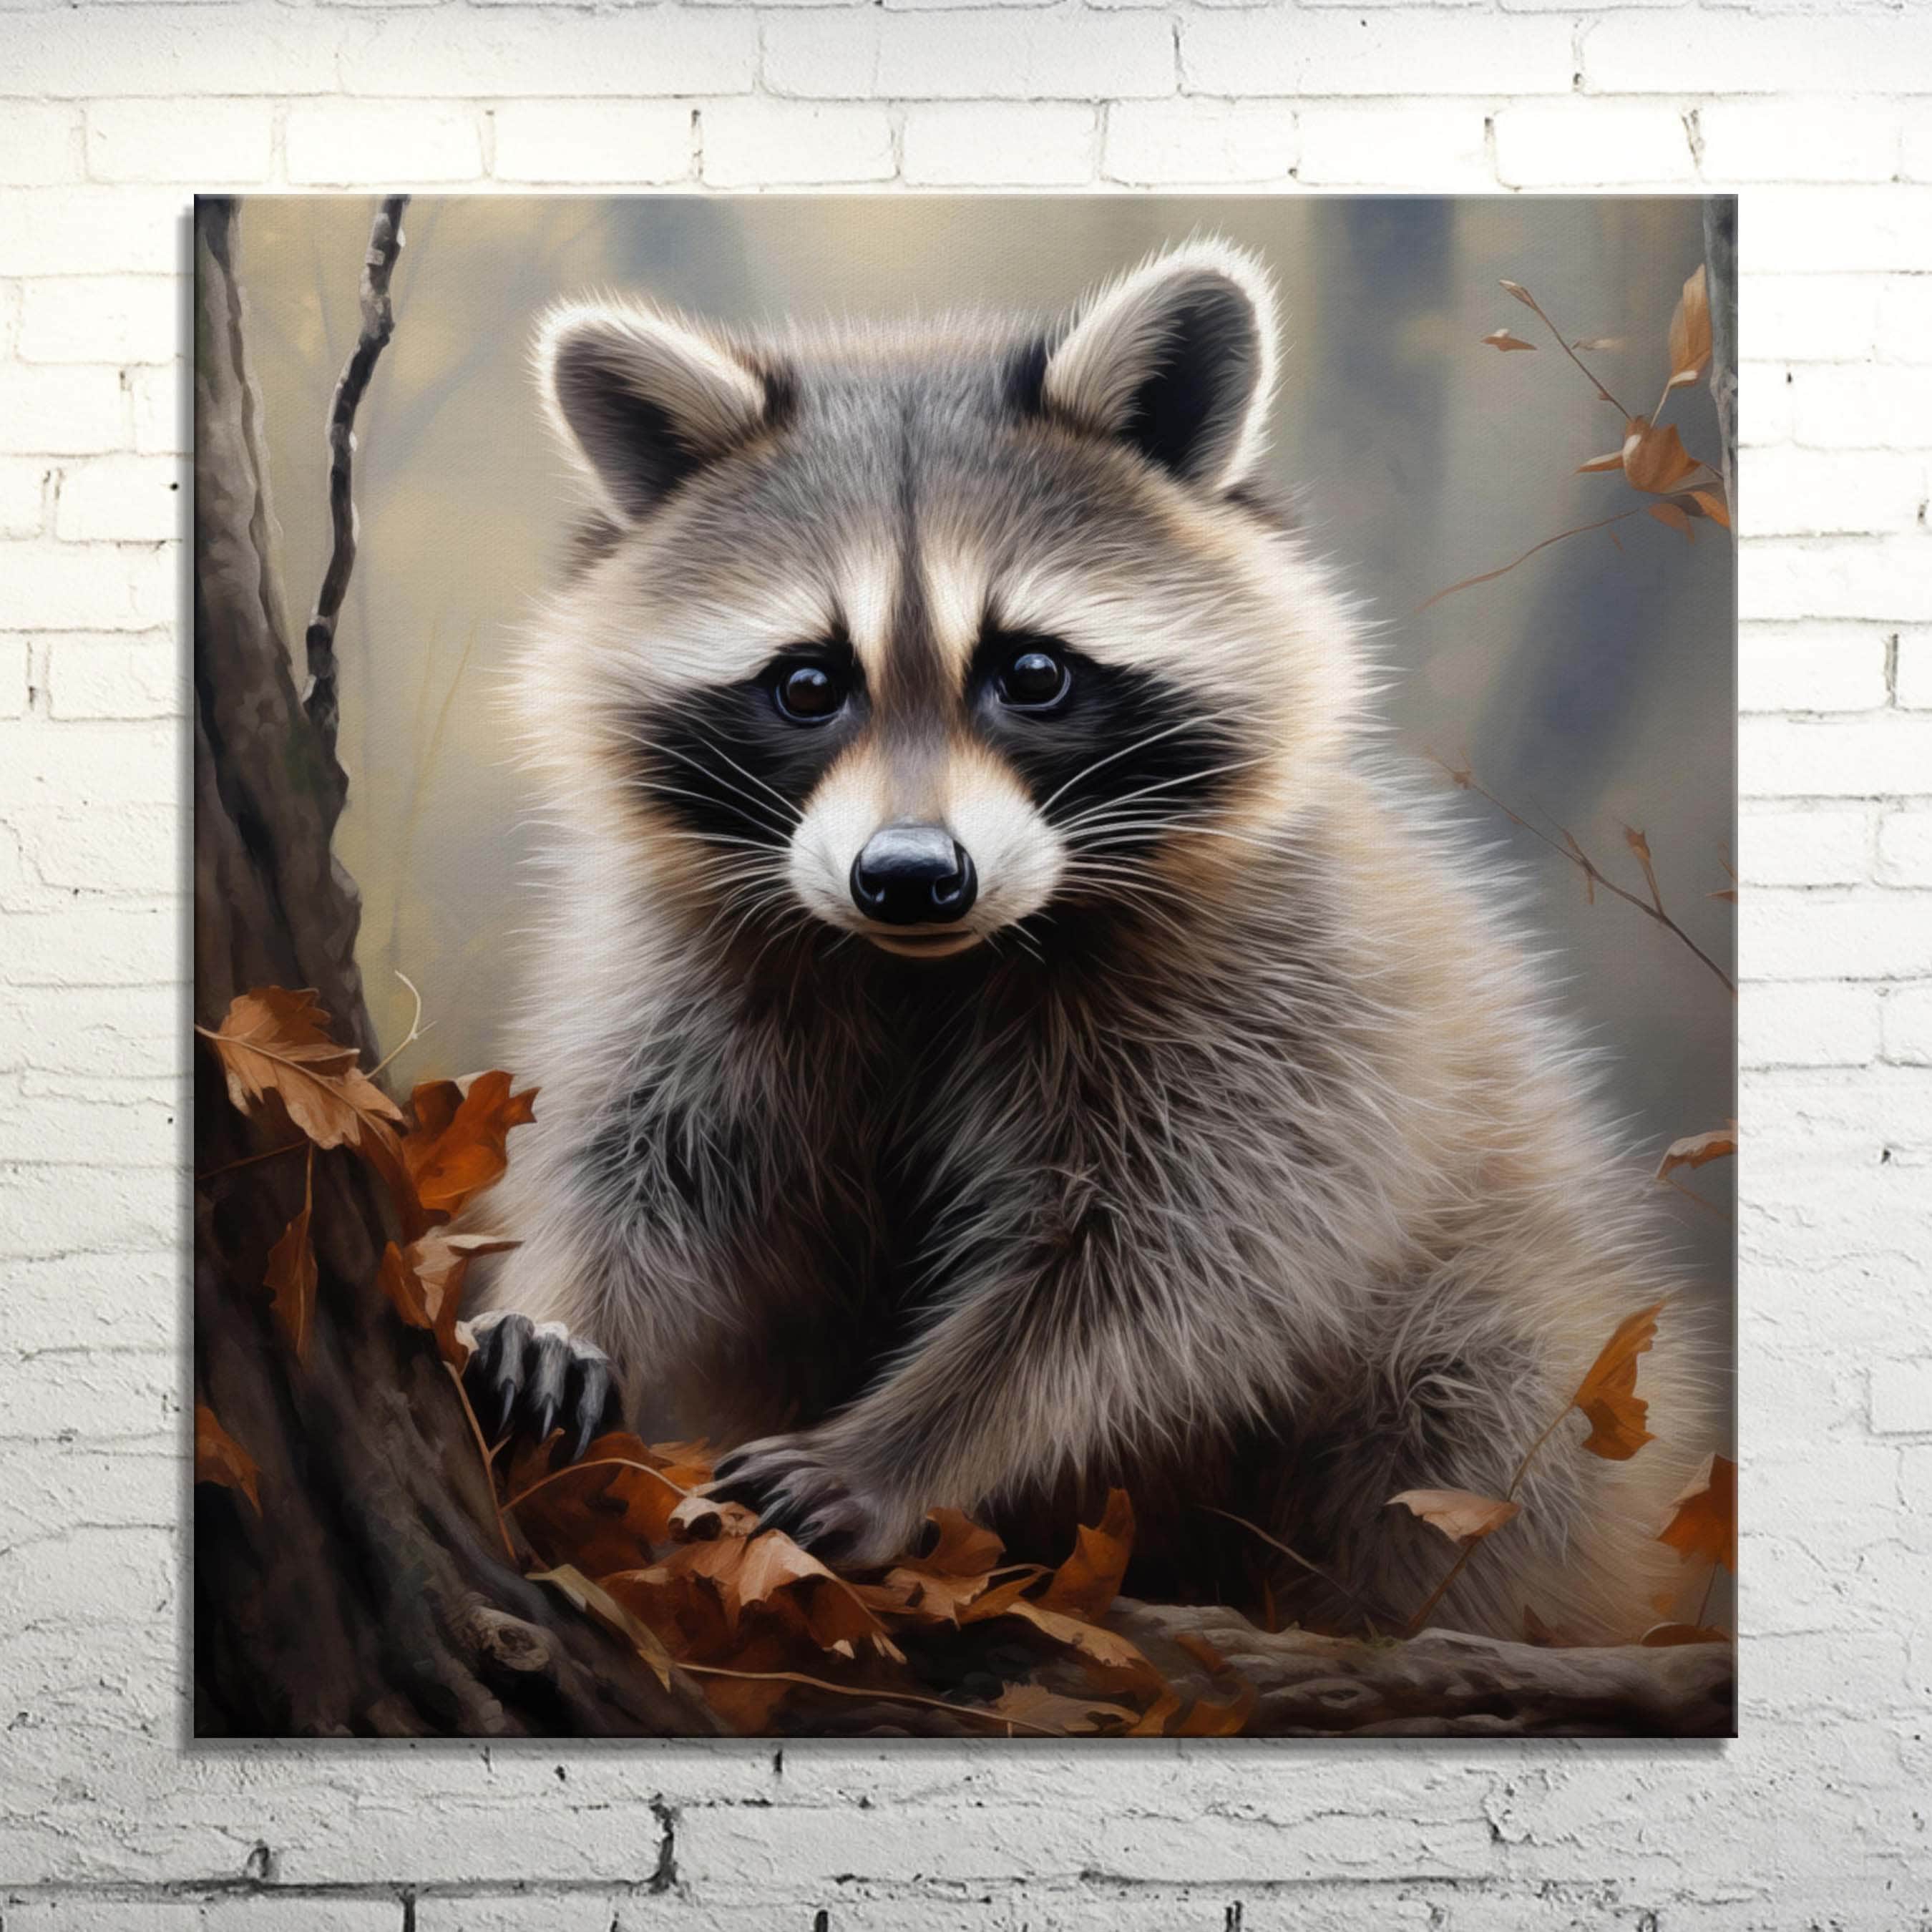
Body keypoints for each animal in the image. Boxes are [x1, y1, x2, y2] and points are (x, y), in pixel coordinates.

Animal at [469, 240, 1715, 1642]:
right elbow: (640, 1154)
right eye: (806, 684)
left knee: (1474, 1418)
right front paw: (561, 1299)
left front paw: (907, 1443)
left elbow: (1162, 1270)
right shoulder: (698, 949)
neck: (931, 967)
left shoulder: (1273, 987)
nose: (910, 879)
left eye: (1033, 674)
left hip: (1527, 1333)